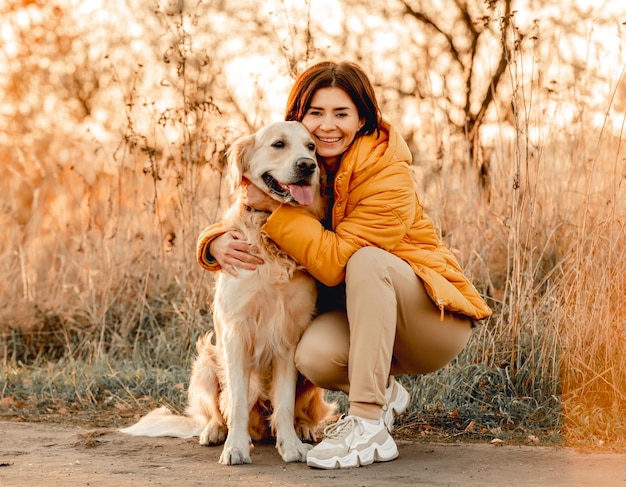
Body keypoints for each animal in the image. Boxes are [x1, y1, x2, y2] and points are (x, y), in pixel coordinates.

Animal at [122, 121, 336, 466]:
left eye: (311, 147)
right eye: (278, 144)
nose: (308, 166)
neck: (267, 233)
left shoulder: (288, 335)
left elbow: (284, 402)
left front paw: (290, 447)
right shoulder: (236, 331)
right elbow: (235, 402)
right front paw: (235, 447)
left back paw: (302, 429)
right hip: (207, 361)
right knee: (214, 412)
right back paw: (214, 432)